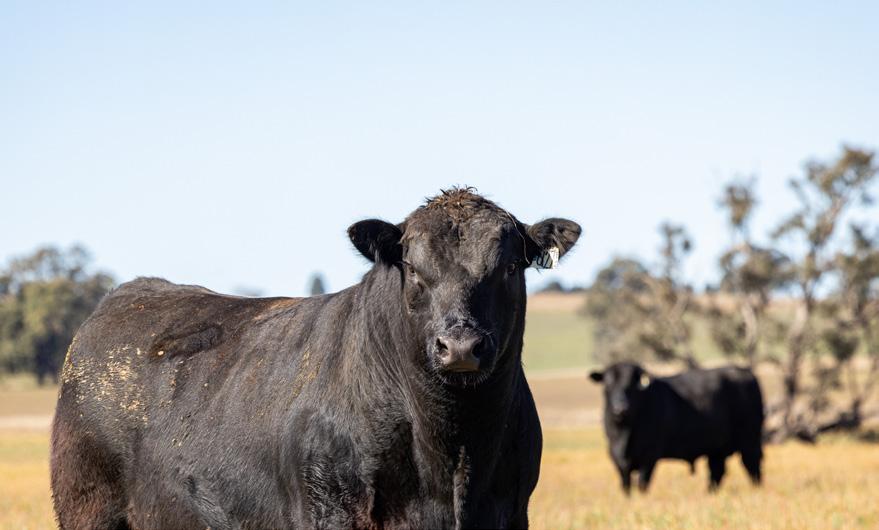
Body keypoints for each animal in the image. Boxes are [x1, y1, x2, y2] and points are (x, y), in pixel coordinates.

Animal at [50, 188, 581, 530]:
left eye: (509, 267)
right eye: (412, 268)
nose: (461, 346)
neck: (451, 453)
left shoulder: (511, 510)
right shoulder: (330, 506)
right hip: (88, 509)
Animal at [588, 362, 764, 494]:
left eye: (631, 386)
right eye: (607, 387)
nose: (620, 409)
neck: (624, 432)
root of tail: (745, 371)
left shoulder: (649, 457)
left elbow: (642, 484)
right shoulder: (616, 458)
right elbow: (626, 485)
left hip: (749, 441)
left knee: (752, 466)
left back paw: (756, 489)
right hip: (717, 449)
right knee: (717, 472)